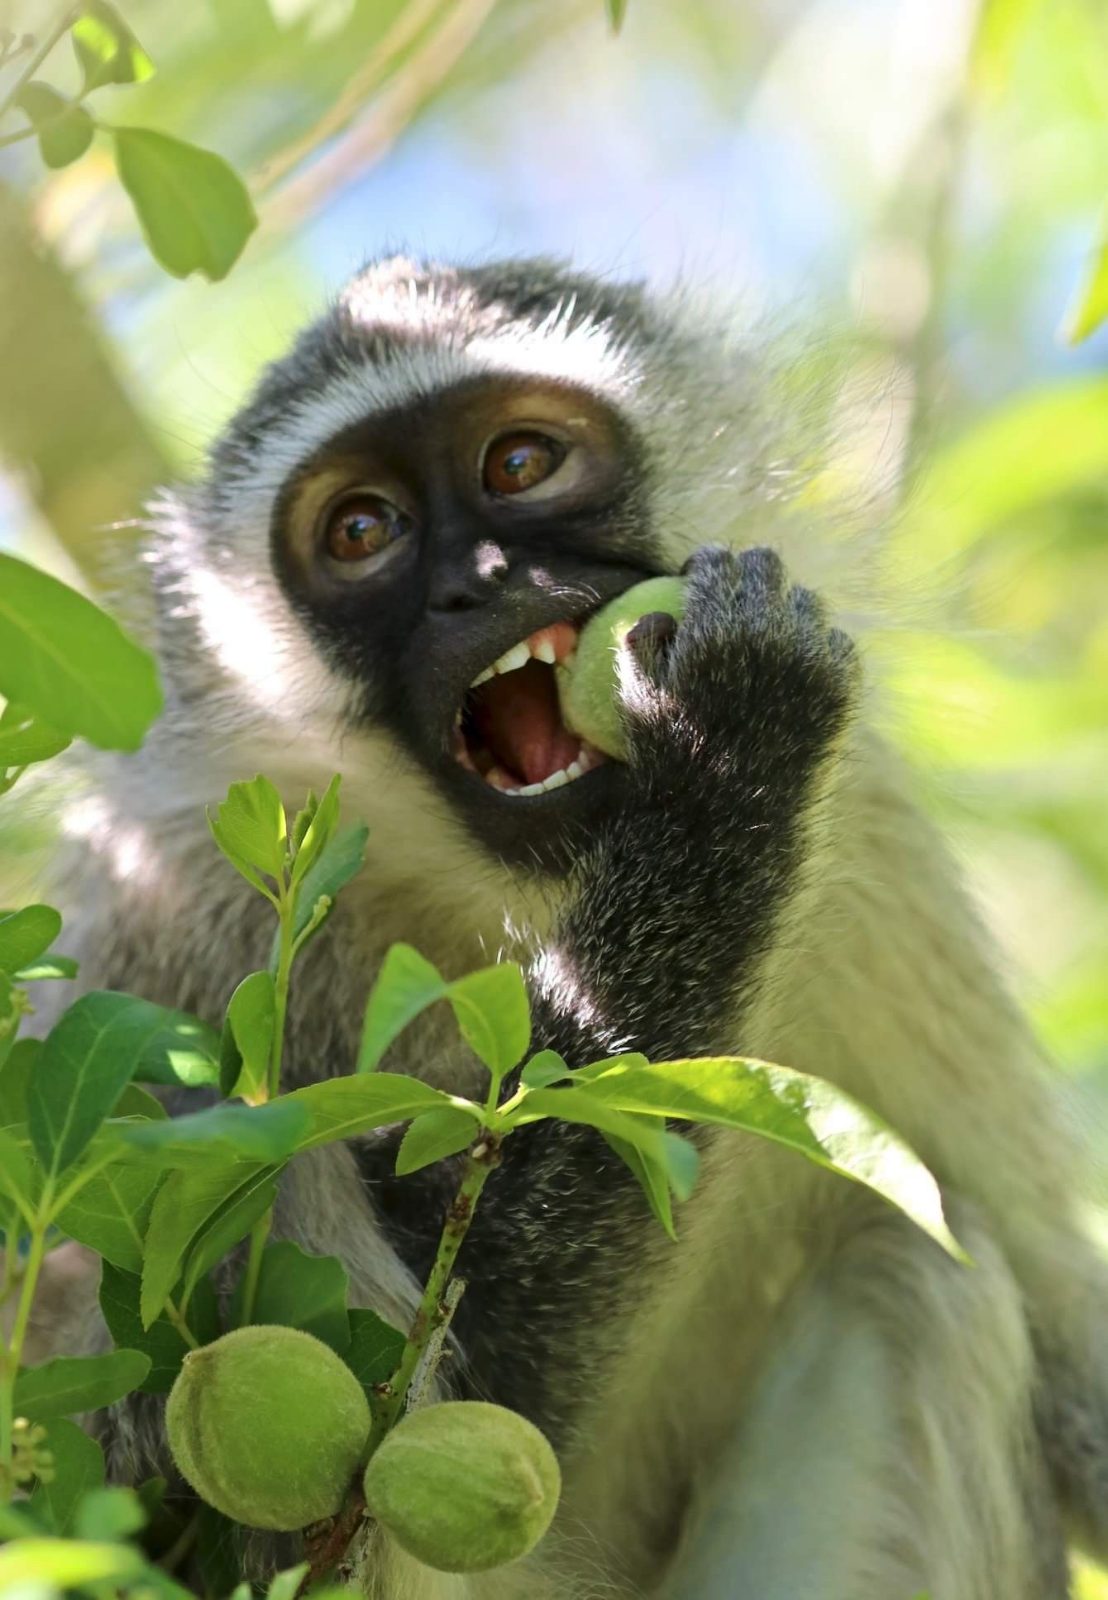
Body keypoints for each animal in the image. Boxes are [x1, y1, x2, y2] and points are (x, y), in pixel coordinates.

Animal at [32, 254, 1108, 1599]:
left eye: (519, 462)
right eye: (361, 531)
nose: (476, 582)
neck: (518, 905)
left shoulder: (878, 856)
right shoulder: (162, 909)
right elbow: (476, 1402)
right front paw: (725, 750)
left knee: (919, 1266)